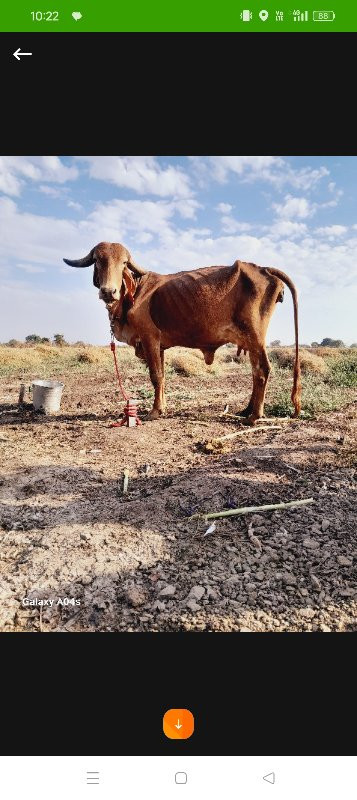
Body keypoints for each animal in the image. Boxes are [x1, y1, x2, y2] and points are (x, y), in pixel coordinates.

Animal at [64, 239, 300, 422]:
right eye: (98, 260)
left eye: (123, 263)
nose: (108, 291)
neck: (133, 295)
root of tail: (263, 268)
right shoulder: (158, 346)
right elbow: (161, 377)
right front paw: (162, 407)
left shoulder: (149, 338)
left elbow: (156, 376)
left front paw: (155, 411)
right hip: (250, 341)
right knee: (254, 371)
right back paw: (246, 410)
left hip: (255, 336)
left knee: (263, 370)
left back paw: (254, 416)